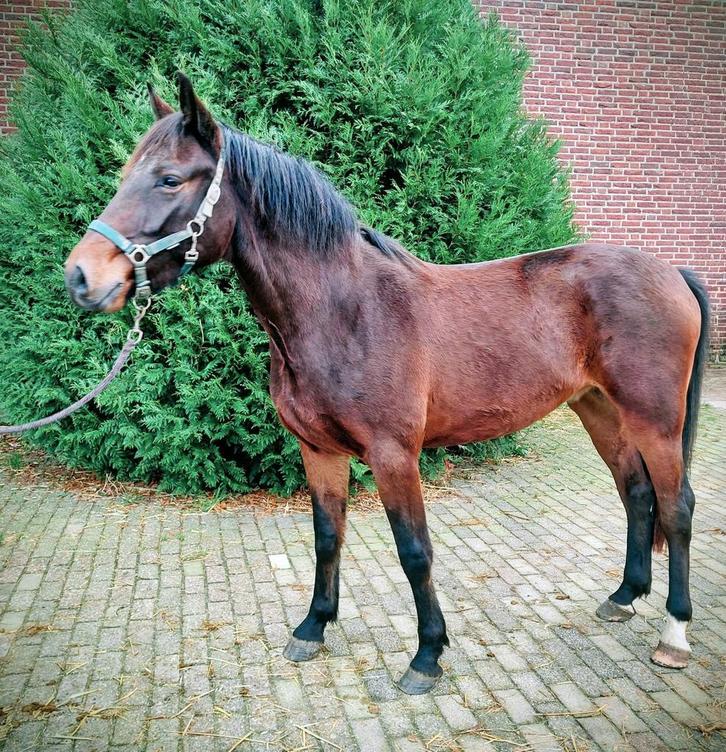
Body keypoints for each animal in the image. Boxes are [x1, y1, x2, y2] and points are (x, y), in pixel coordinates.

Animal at [64, 74, 709, 694]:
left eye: (169, 179)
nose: (80, 276)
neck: (344, 312)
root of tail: (671, 271)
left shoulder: (394, 455)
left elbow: (415, 552)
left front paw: (427, 656)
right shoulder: (318, 450)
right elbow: (328, 537)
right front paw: (313, 627)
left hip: (656, 419)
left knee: (677, 505)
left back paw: (676, 633)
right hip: (599, 410)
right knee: (637, 494)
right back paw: (623, 597)